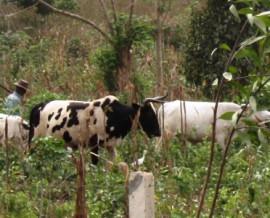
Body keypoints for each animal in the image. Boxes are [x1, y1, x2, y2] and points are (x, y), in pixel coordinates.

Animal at [28, 94, 166, 164]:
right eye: (149, 114)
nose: (158, 132)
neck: (114, 114)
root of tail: (40, 106)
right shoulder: (94, 144)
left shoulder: (110, 146)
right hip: (35, 142)